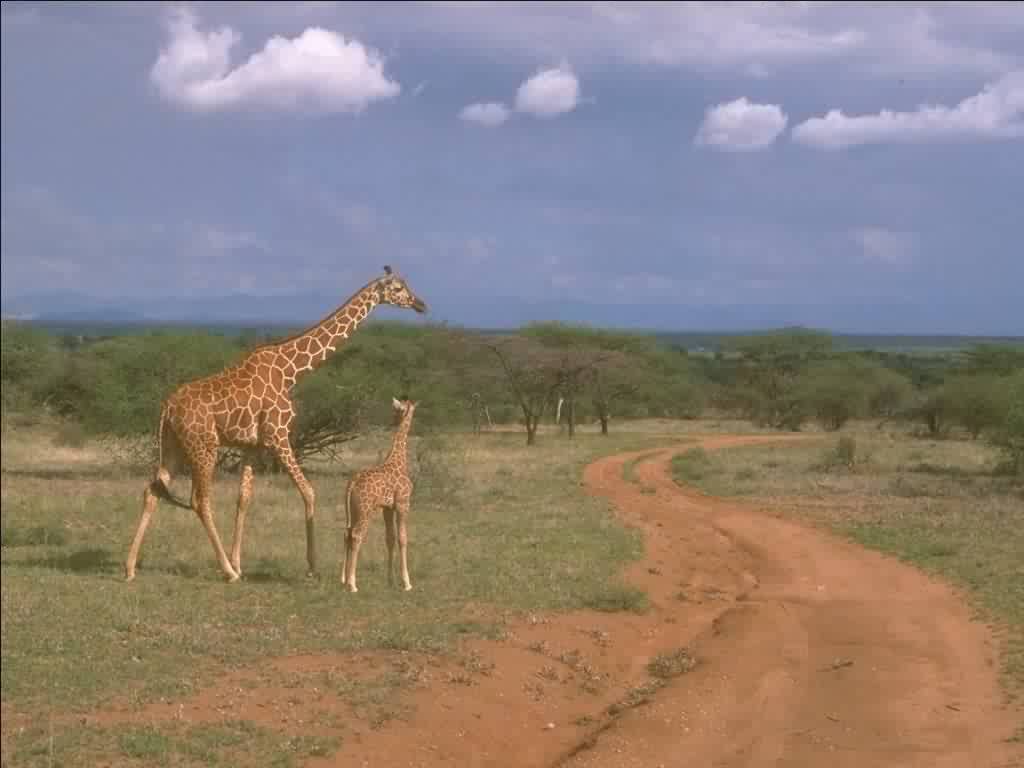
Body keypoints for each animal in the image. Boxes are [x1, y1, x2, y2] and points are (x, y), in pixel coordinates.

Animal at [341, 396, 418, 593]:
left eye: (396, 410)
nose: (392, 421)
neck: (399, 459)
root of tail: (352, 483)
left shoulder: (387, 508)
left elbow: (389, 538)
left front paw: (390, 580)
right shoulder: (403, 504)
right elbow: (403, 538)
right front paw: (407, 583)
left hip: (352, 510)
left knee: (347, 533)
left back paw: (343, 579)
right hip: (365, 510)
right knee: (356, 535)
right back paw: (353, 584)